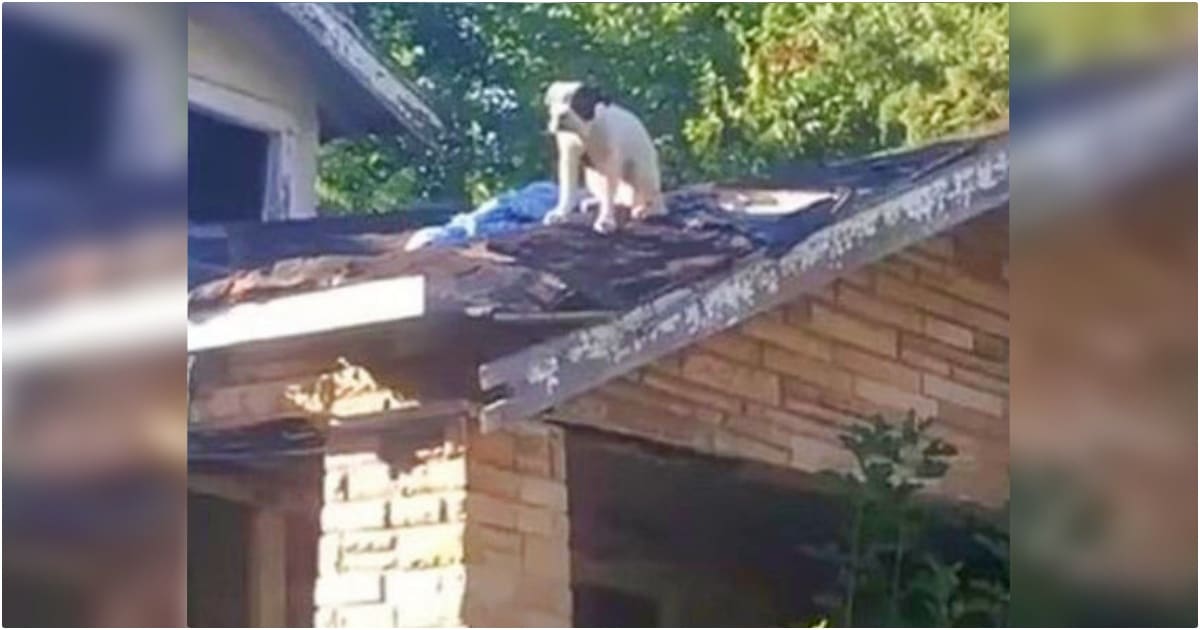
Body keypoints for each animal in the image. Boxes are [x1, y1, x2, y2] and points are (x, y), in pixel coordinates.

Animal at [542, 80, 667, 232]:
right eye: (554, 102)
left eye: (579, 103)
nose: (561, 115)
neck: (585, 133)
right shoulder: (569, 159)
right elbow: (567, 190)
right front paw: (560, 213)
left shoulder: (610, 164)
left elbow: (608, 194)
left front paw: (606, 220)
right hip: (594, 178)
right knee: (615, 197)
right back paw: (595, 202)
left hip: (640, 172)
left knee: (652, 199)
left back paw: (646, 209)